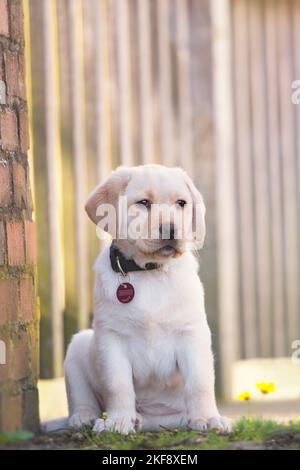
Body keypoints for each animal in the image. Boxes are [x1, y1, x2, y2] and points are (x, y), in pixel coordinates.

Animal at [63, 164, 230, 434]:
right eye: (143, 203)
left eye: (181, 203)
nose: (171, 229)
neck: (150, 271)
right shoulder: (111, 338)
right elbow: (117, 385)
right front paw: (118, 421)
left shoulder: (192, 333)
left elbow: (200, 382)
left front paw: (208, 418)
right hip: (78, 345)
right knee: (82, 396)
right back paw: (85, 417)